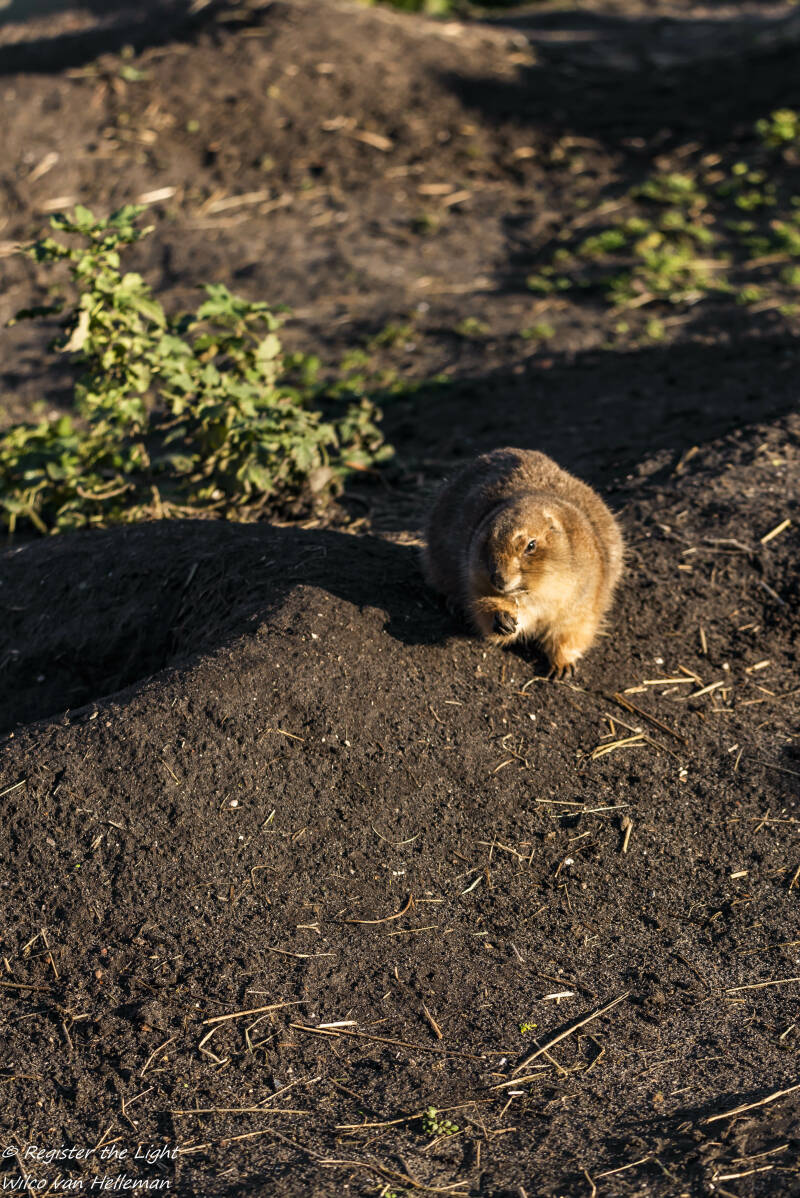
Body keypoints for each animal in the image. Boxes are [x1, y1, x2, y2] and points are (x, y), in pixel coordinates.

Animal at [423, 447, 624, 677]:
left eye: (531, 545)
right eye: (486, 541)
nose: (499, 579)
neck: (539, 592)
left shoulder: (585, 594)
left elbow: (573, 630)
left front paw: (562, 668)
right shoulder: (475, 578)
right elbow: (484, 607)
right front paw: (502, 619)